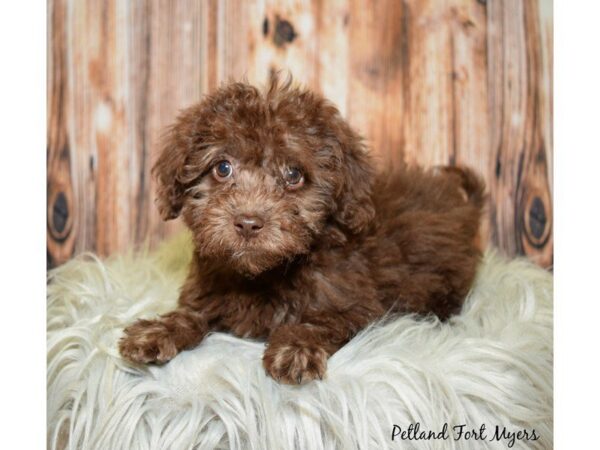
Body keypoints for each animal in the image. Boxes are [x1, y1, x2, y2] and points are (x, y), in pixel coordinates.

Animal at [119, 76, 486, 384]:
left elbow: (318, 322)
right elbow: (191, 315)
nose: (248, 223)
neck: (264, 274)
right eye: (222, 168)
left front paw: (294, 350)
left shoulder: (353, 304)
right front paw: (156, 331)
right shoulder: (209, 291)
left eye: (293, 175)